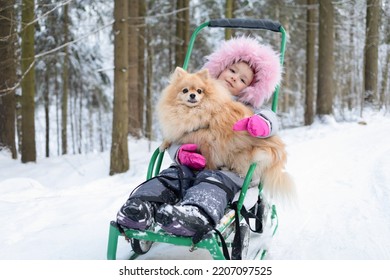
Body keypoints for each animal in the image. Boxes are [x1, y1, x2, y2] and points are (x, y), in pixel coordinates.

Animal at [157, 67, 294, 197]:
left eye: (199, 91)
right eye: (185, 90)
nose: (192, 95)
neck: (192, 111)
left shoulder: (207, 142)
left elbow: (208, 158)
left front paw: (206, 169)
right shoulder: (183, 132)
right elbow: (174, 137)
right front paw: (164, 145)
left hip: (249, 155)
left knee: (246, 174)